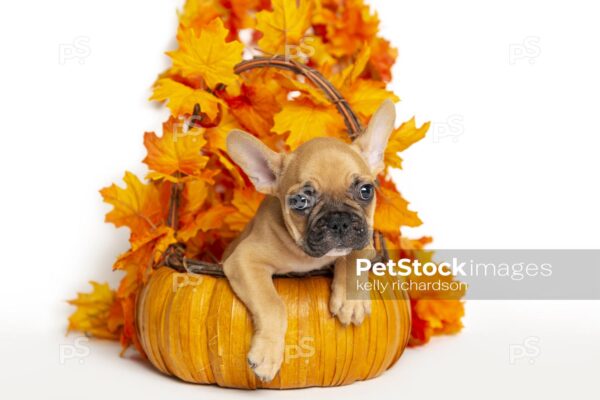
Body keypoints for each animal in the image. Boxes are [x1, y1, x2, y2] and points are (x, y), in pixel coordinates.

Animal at [223, 99, 396, 382]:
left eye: (366, 190)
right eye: (301, 201)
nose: (339, 220)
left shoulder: (365, 243)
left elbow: (354, 255)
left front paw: (350, 300)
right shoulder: (244, 260)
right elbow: (273, 304)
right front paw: (267, 354)